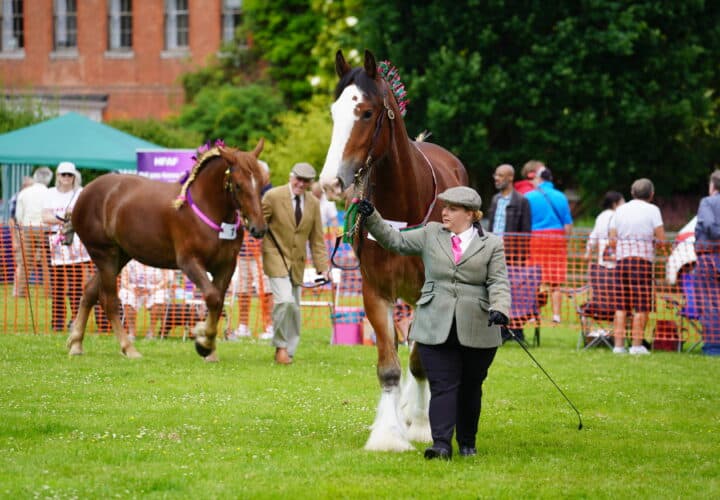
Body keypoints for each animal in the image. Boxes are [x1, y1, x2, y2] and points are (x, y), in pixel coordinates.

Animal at [67, 140, 268, 362]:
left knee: (89, 291)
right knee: (109, 300)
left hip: (120, 256)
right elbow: (213, 298)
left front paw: (209, 348)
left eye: (262, 182)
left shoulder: (226, 266)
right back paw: (128, 347)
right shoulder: (189, 262)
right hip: (105, 255)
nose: (259, 228)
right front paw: (204, 343)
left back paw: (76, 343)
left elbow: (218, 301)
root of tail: (85, 193)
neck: (207, 209)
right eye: (238, 185)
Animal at [320, 50, 469, 451]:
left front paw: (421, 426)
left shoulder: (427, 296)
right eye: (334, 112)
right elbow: (389, 366)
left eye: (366, 112)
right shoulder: (376, 293)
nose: (330, 181)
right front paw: (388, 434)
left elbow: (421, 362)